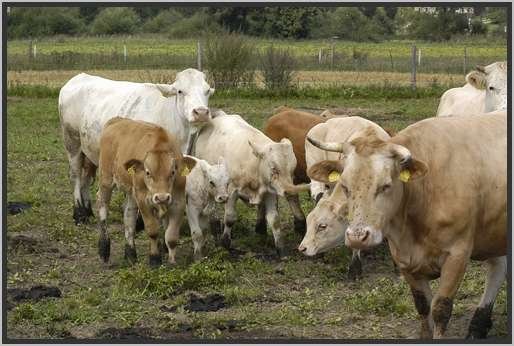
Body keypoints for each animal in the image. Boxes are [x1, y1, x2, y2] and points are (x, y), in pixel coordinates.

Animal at [59, 68, 213, 224]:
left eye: (207, 90)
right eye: (180, 91)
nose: (201, 112)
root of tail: (79, 77)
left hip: (91, 151)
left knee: (87, 178)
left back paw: (87, 210)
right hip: (71, 141)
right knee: (75, 175)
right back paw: (79, 213)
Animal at [95, 117, 194, 266]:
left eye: (172, 172)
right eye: (147, 172)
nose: (162, 198)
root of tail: (116, 120)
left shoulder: (179, 200)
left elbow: (171, 236)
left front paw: (171, 261)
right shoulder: (142, 199)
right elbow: (152, 230)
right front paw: (154, 259)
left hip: (131, 191)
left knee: (128, 216)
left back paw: (131, 254)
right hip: (106, 179)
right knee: (102, 206)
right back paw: (104, 249)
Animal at [193, 111, 308, 256]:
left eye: (292, 170)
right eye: (274, 168)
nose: (288, 191)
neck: (253, 165)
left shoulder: (269, 193)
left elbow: (275, 220)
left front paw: (281, 249)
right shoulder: (231, 191)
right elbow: (230, 218)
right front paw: (225, 243)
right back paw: (215, 226)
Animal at [306, 112, 506, 340]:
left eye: (386, 186)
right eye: (346, 187)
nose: (357, 236)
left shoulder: (457, 255)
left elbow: (440, 309)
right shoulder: (404, 260)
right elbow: (423, 306)